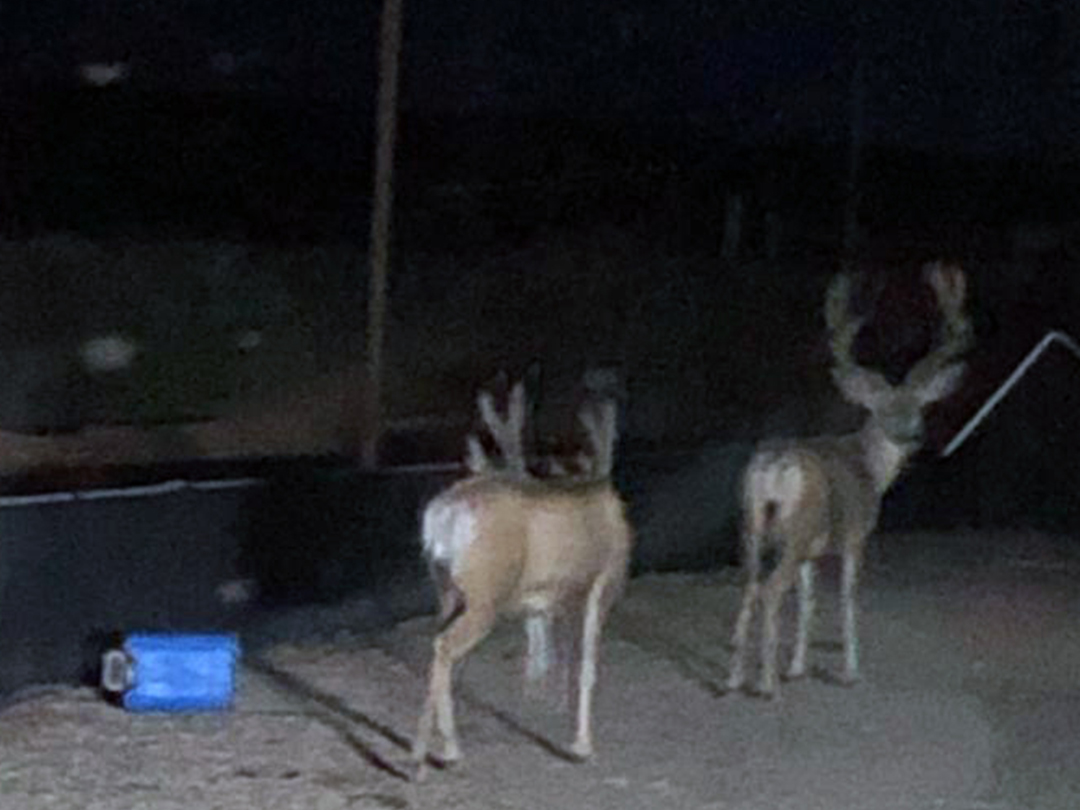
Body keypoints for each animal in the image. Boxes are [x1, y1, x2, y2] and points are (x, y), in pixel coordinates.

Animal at [412, 373, 630, 781]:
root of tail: (443, 517)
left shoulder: (547, 598)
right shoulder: (601, 583)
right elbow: (586, 664)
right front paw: (581, 746)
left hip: (445, 588)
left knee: (437, 646)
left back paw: (432, 753)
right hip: (484, 595)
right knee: (445, 646)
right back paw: (435, 755)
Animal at [730, 263, 976, 699]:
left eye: (920, 407)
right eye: (884, 409)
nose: (913, 435)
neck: (872, 469)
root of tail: (775, 465)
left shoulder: (813, 549)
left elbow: (809, 600)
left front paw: (797, 667)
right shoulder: (856, 533)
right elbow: (847, 597)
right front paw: (849, 672)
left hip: (753, 520)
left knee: (749, 584)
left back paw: (732, 679)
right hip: (797, 526)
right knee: (771, 590)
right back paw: (766, 685)